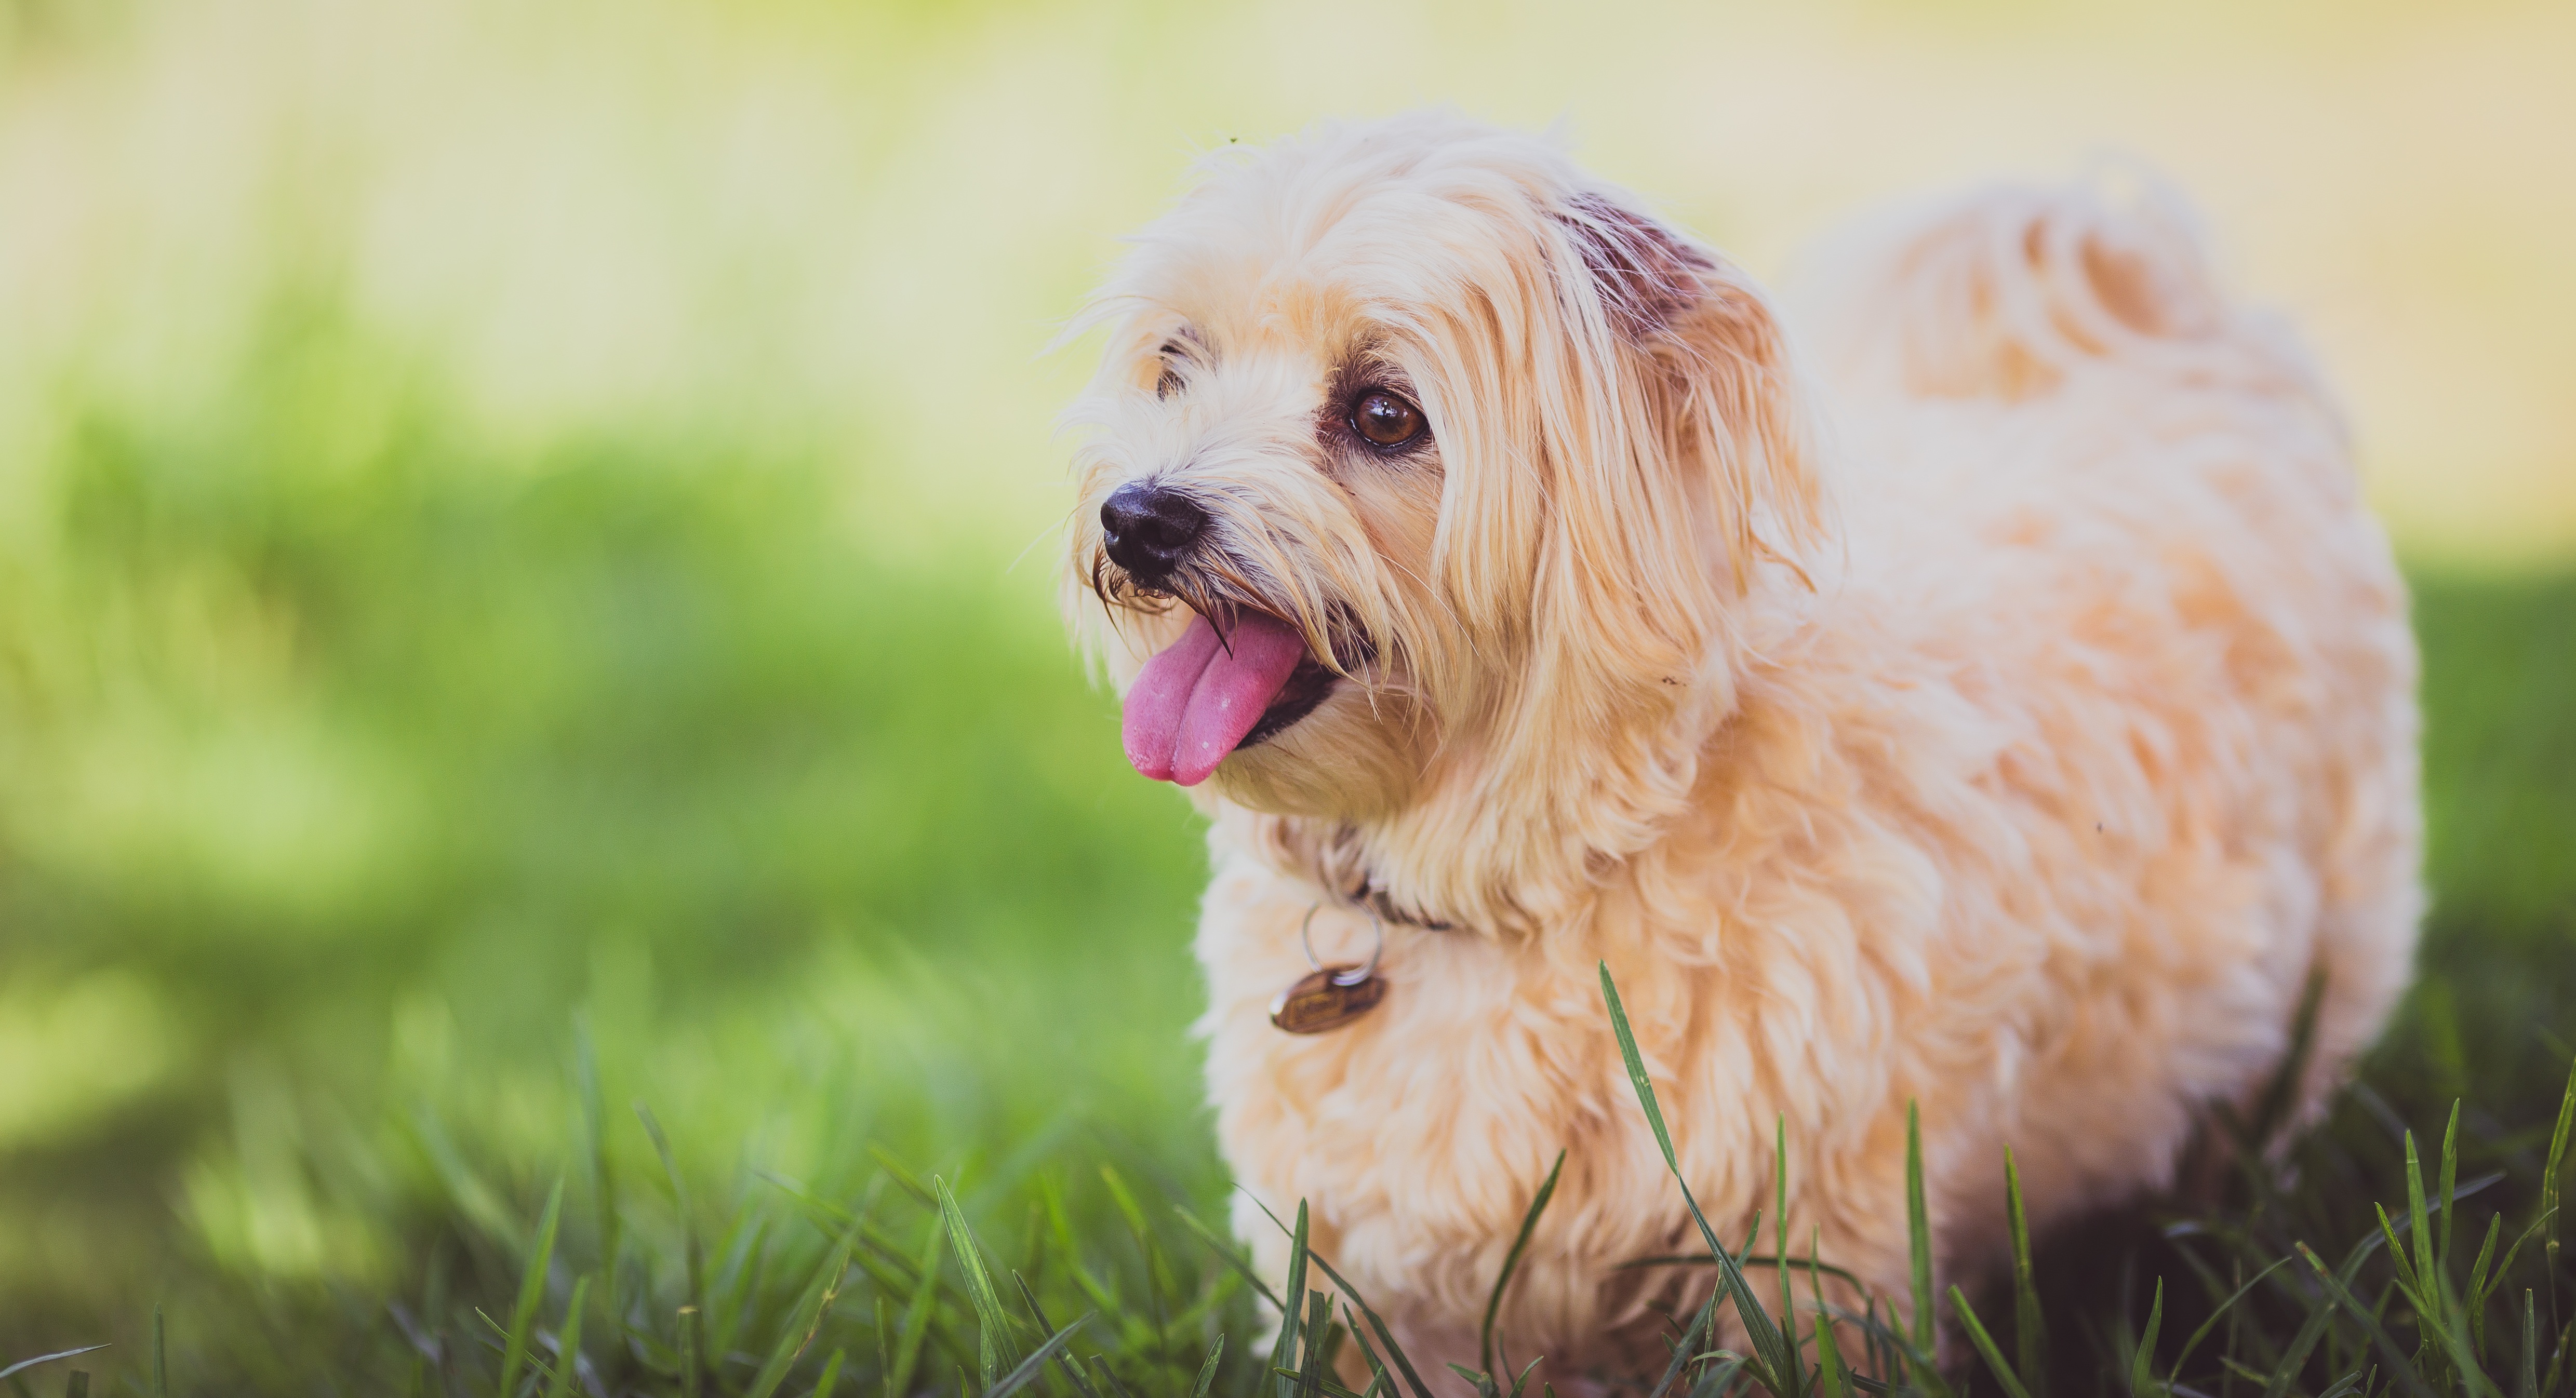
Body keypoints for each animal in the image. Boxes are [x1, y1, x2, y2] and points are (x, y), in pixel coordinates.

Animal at [1051, 114, 2411, 1380]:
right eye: (1177, 364)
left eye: (1384, 412)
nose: (1140, 515)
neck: (1523, 870)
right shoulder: (1376, 1289)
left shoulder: (1811, 1263)